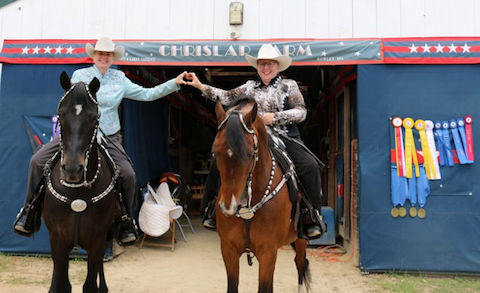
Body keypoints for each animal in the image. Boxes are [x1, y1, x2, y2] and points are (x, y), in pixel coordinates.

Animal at [43, 71, 118, 292]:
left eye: (94, 119)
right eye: (60, 115)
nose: (72, 170)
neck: (76, 192)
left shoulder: (97, 242)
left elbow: (90, 285)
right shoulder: (57, 241)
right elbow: (60, 285)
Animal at [214, 99, 312, 290]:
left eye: (250, 154)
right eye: (214, 152)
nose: (228, 207)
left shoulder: (268, 252)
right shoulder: (228, 249)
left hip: (301, 238)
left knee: (300, 263)